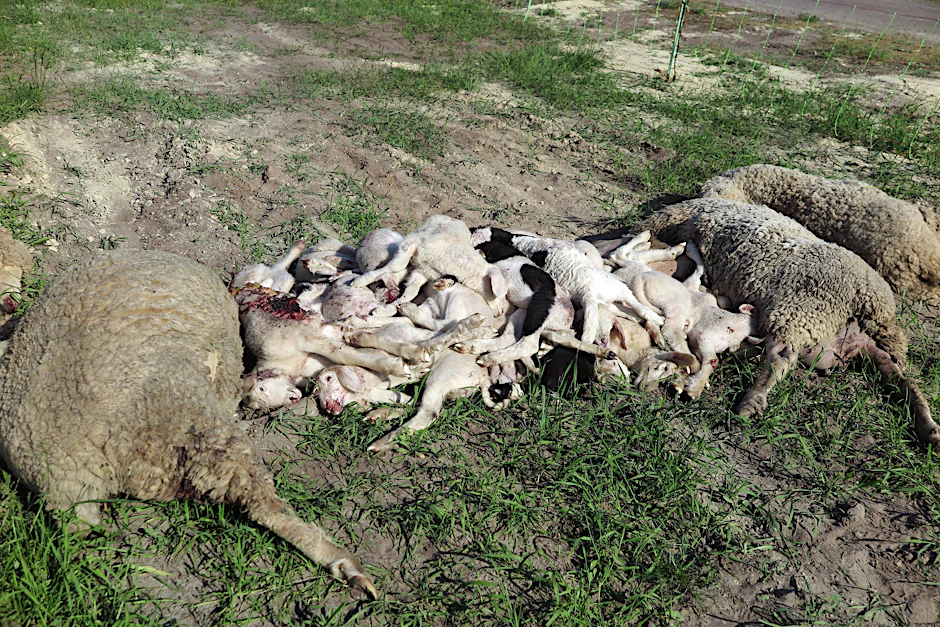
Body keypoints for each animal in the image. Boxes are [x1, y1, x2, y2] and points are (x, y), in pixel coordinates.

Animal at [636, 197, 940, 448]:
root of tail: (863, 298)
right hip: (851, 337)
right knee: (896, 373)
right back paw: (929, 430)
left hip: (795, 312)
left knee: (780, 358)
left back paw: (750, 403)